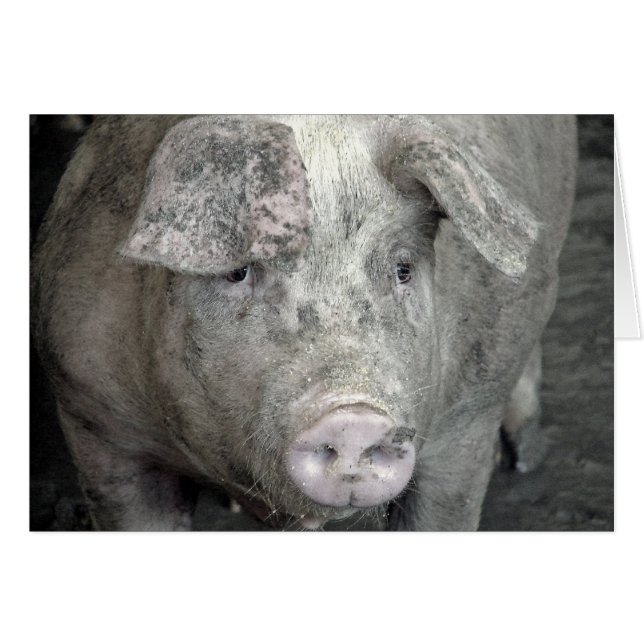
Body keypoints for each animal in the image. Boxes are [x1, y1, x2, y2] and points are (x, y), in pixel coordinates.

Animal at [31, 115, 577, 531]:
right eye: (237, 271)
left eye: (402, 269)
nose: (354, 415)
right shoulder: (97, 424)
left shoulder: (465, 425)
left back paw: (523, 455)